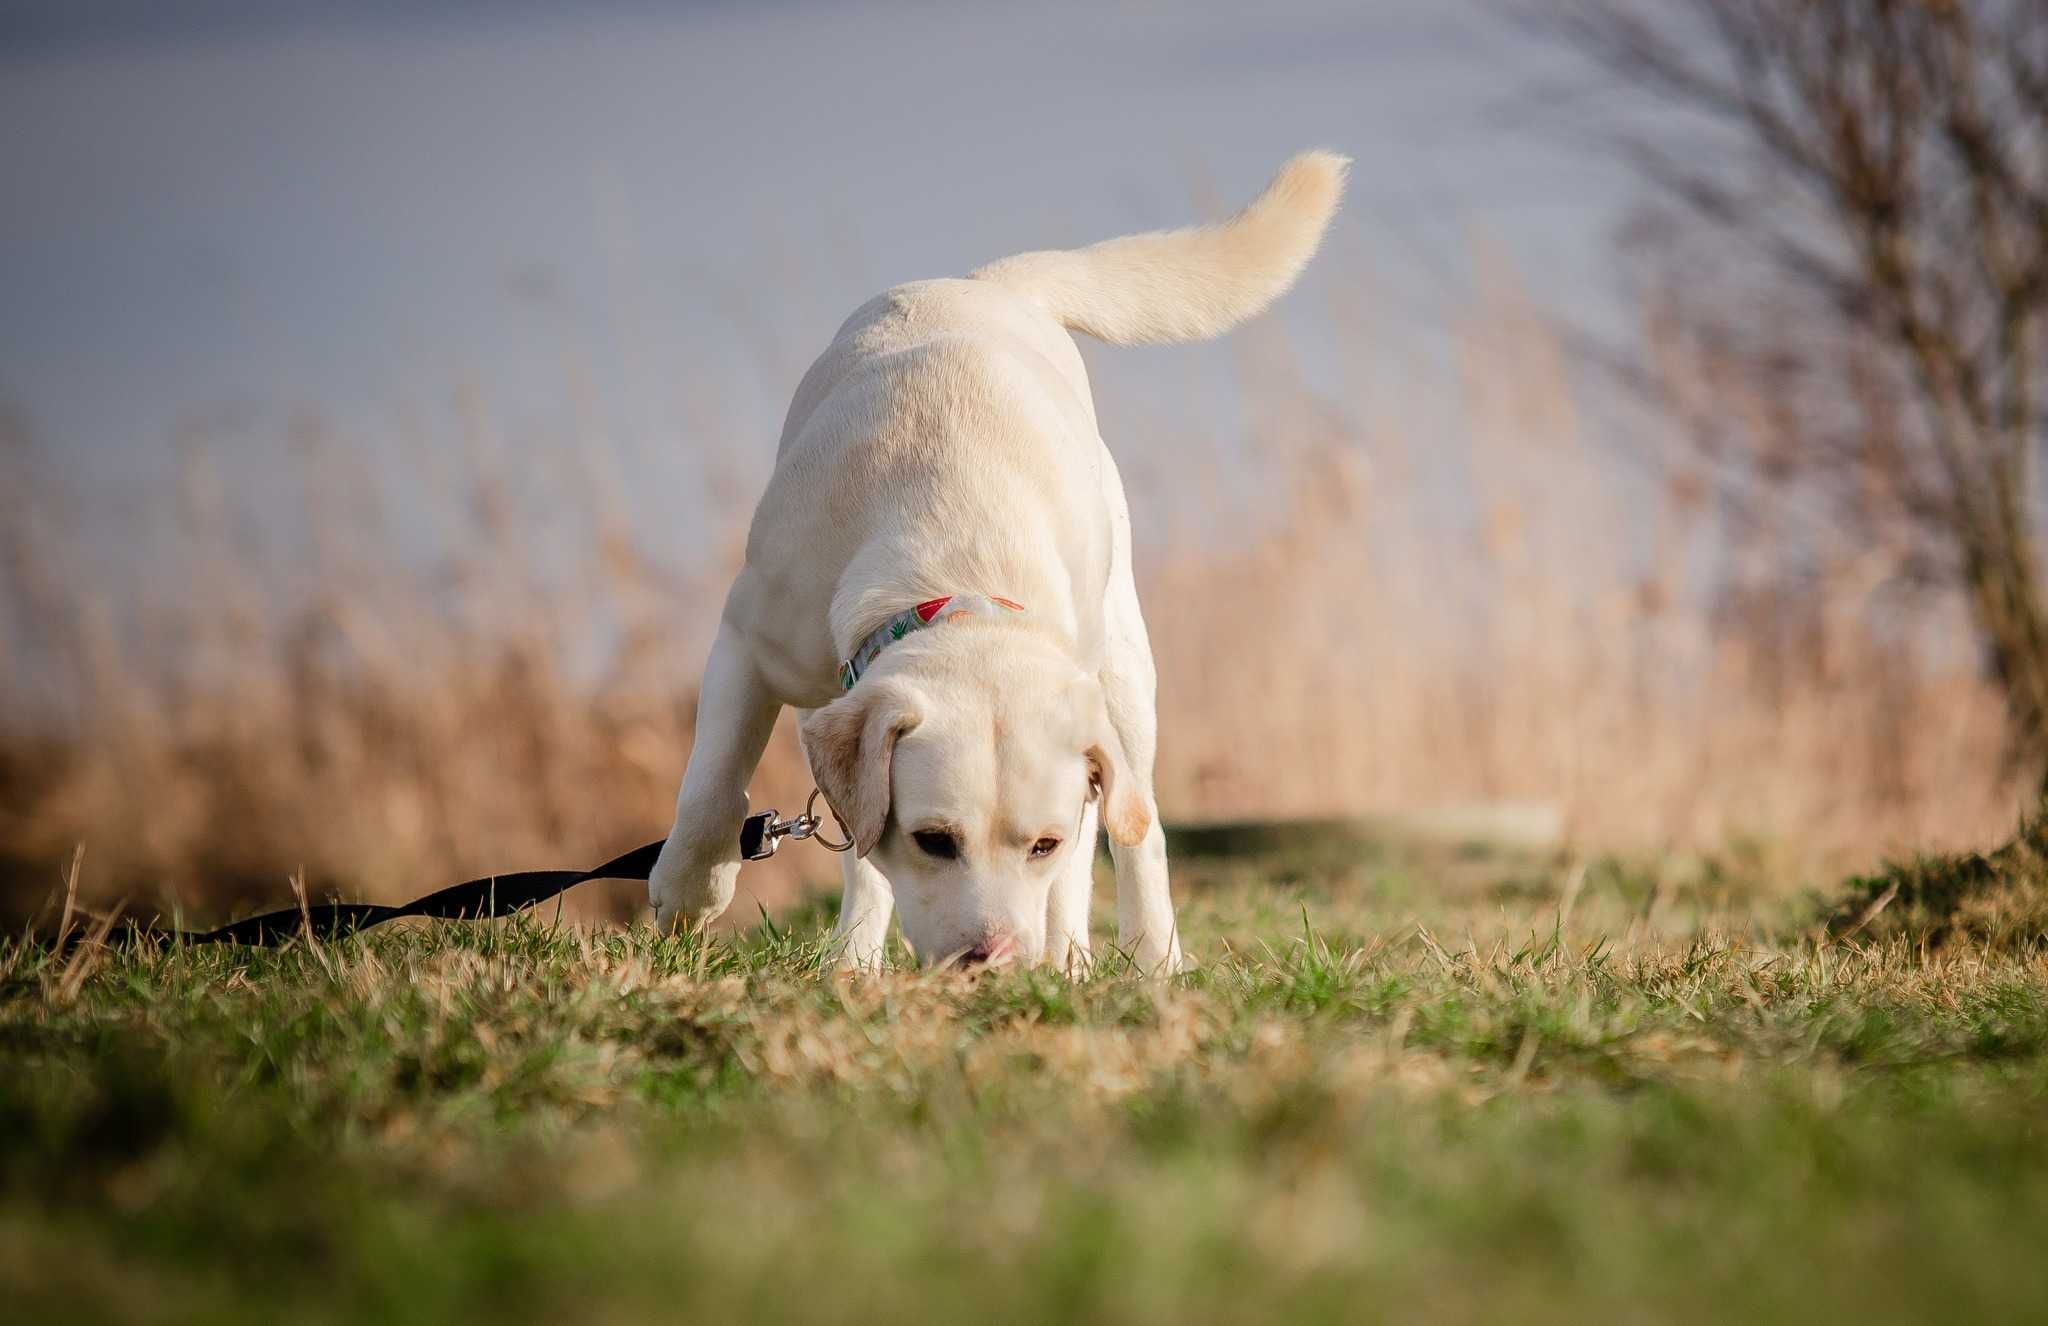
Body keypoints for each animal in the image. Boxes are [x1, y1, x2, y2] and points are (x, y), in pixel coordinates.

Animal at [651, 150, 1343, 971]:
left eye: (1039, 843)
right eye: (934, 841)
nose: (994, 960)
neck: (955, 566)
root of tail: (989, 283)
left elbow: (1085, 854)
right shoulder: (750, 643)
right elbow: (712, 789)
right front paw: (687, 899)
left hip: (1123, 674)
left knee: (1135, 827)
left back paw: (1143, 959)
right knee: (862, 850)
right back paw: (856, 960)